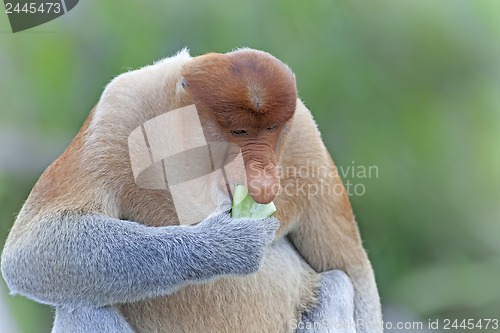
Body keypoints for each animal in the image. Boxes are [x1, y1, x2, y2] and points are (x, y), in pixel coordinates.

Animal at [0, 48, 382, 330]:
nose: (262, 178)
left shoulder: (304, 138)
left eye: (271, 129)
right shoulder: (118, 113)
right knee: (81, 306)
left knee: (337, 285)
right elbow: (32, 248)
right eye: (239, 132)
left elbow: (352, 269)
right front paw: (232, 242)